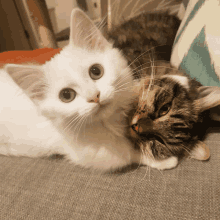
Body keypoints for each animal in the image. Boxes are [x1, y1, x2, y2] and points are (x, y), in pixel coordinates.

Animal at [0, 8, 179, 170]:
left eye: (96, 71)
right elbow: (128, 154)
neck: (112, 118)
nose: (95, 96)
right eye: (66, 95)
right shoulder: (89, 152)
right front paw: (162, 161)